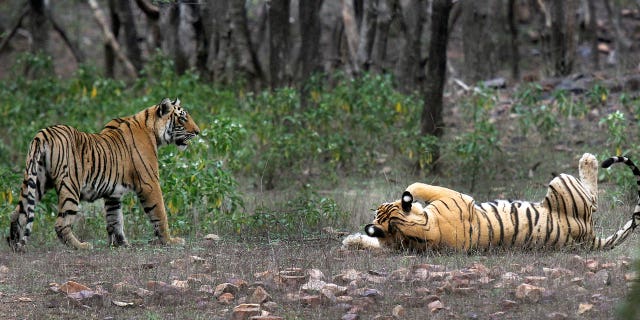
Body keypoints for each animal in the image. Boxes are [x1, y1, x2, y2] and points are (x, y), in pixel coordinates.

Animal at [6, 97, 199, 252]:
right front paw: (170, 241)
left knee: (18, 213)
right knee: (61, 223)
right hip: (70, 185)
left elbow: (115, 219)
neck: (152, 130)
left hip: (36, 180)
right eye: (183, 118)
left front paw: (121, 244)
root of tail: (43, 134)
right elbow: (160, 213)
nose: (198, 132)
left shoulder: (113, 193)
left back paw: (14, 244)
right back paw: (81, 246)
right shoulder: (149, 183)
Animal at [344, 153, 640, 252]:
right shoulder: (456, 197)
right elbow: (417, 186)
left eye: (379, 209)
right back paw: (589, 159)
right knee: (593, 198)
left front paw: (351, 240)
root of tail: (588, 237)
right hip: (561, 182)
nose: (377, 207)